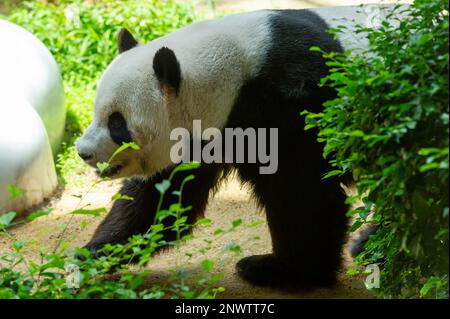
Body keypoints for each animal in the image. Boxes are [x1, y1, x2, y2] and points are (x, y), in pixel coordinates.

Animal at [76, 7, 372, 288]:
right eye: (96, 112)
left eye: (117, 122)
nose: (83, 151)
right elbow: (161, 200)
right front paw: (93, 254)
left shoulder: (293, 107)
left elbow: (302, 193)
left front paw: (285, 270)